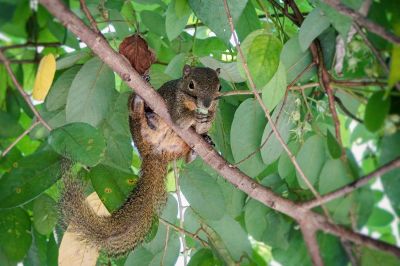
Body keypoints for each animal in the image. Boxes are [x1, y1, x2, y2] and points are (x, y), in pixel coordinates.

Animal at [60, 63, 220, 256]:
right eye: (191, 85)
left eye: (219, 87)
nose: (207, 104)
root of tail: (155, 153)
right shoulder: (173, 104)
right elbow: (180, 121)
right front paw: (194, 116)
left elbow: (203, 126)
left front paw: (207, 120)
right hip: (137, 127)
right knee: (136, 113)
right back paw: (139, 104)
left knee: (188, 157)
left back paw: (197, 150)